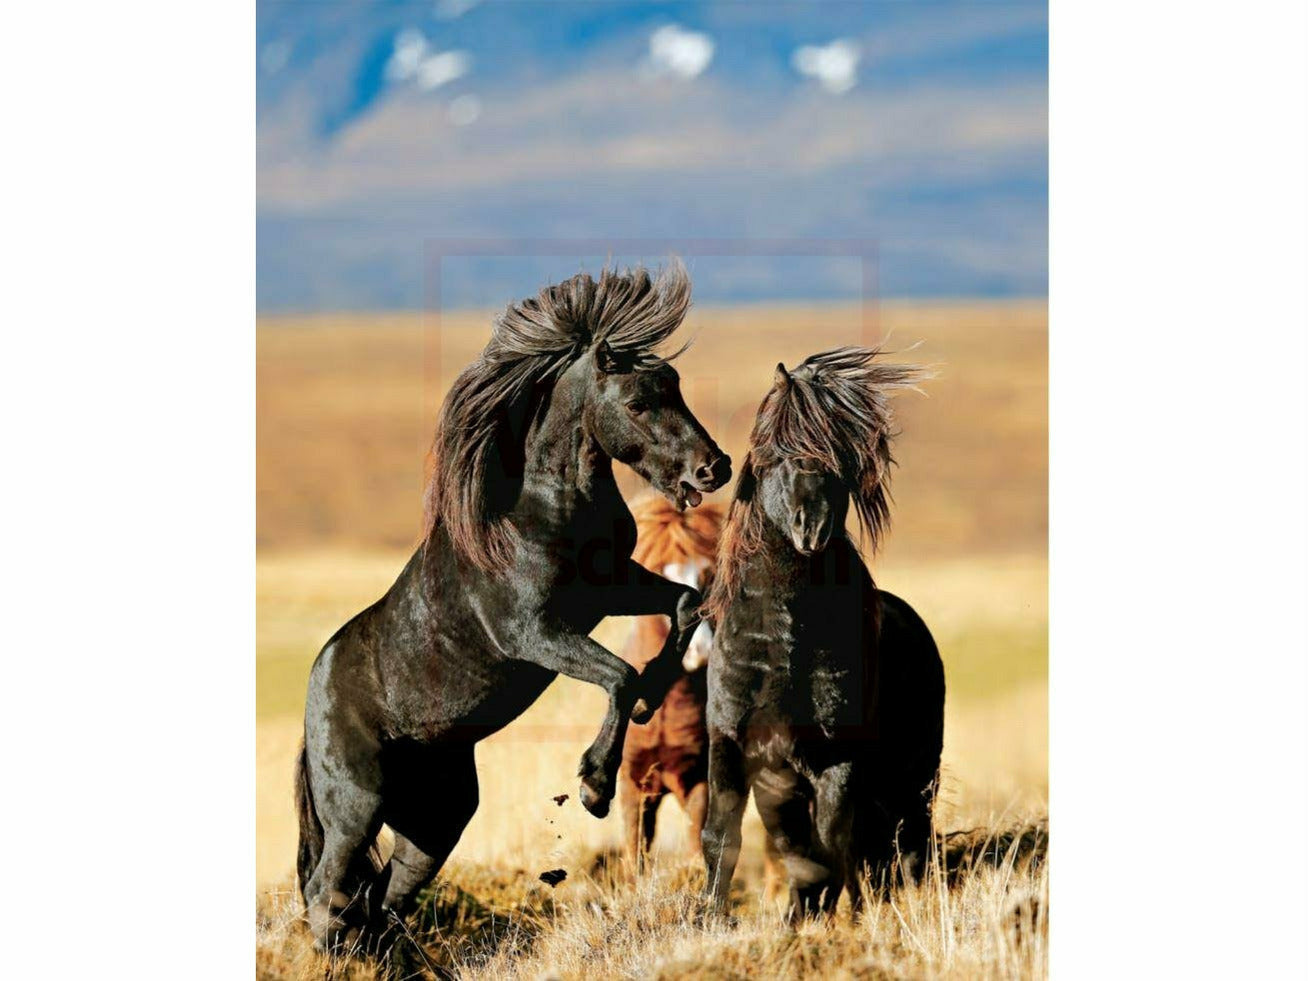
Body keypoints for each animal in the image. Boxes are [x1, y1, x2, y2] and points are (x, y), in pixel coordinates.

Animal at [294, 263, 731, 951]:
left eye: (676, 387)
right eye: (637, 402)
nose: (713, 468)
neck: (543, 507)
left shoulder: (612, 589)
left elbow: (684, 606)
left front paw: (650, 702)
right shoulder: (536, 632)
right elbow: (618, 674)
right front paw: (594, 785)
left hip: (435, 823)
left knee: (382, 897)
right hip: (356, 806)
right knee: (326, 892)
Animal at [699, 346, 945, 920]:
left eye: (842, 457)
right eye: (778, 449)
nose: (811, 527)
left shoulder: (837, 761)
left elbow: (830, 844)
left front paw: (825, 918)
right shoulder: (733, 746)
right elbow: (724, 837)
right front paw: (710, 918)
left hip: (915, 775)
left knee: (909, 842)